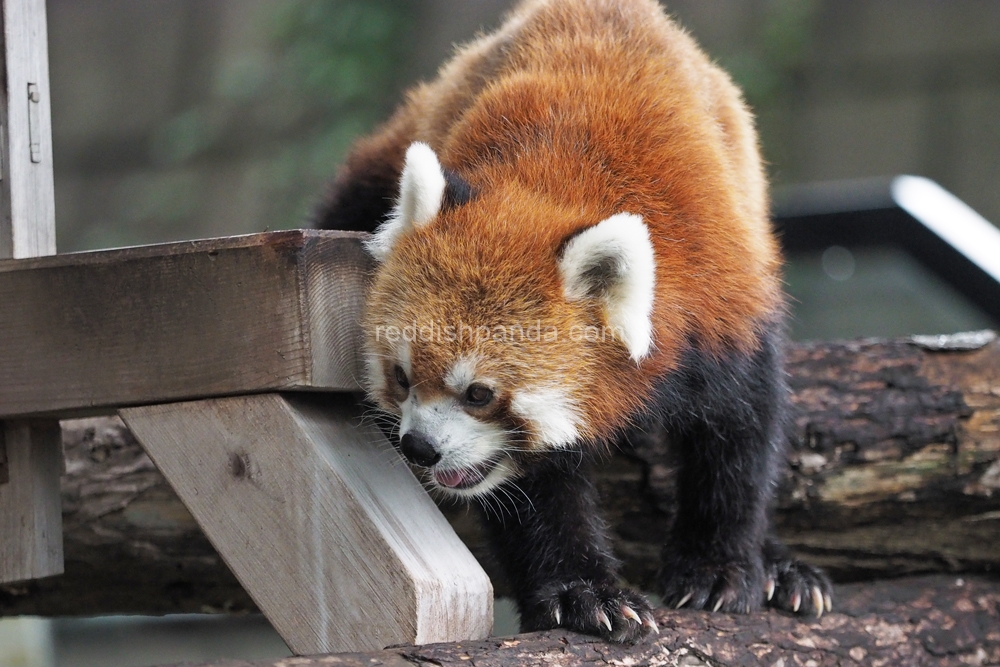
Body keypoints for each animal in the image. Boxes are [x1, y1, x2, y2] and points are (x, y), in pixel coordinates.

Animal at [316, 0, 832, 644]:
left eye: (480, 393)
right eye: (402, 378)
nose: (420, 448)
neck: (557, 178)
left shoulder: (725, 297)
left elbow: (741, 434)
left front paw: (720, 567)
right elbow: (537, 492)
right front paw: (583, 594)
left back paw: (784, 570)